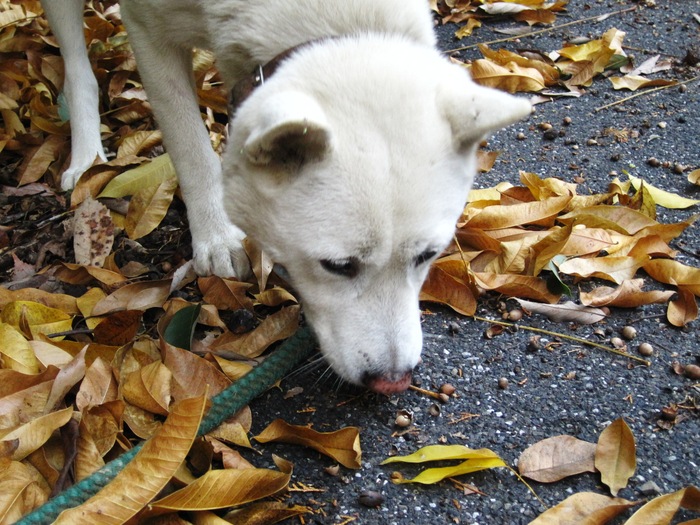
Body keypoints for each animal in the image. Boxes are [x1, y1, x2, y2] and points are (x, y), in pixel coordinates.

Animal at [45, 0, 532, 392]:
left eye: (428, 255)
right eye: (338, 266)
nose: (392, 382)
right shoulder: (148, 29)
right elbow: (190, 146)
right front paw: (216, 236)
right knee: (76, 67)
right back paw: (87, 156)